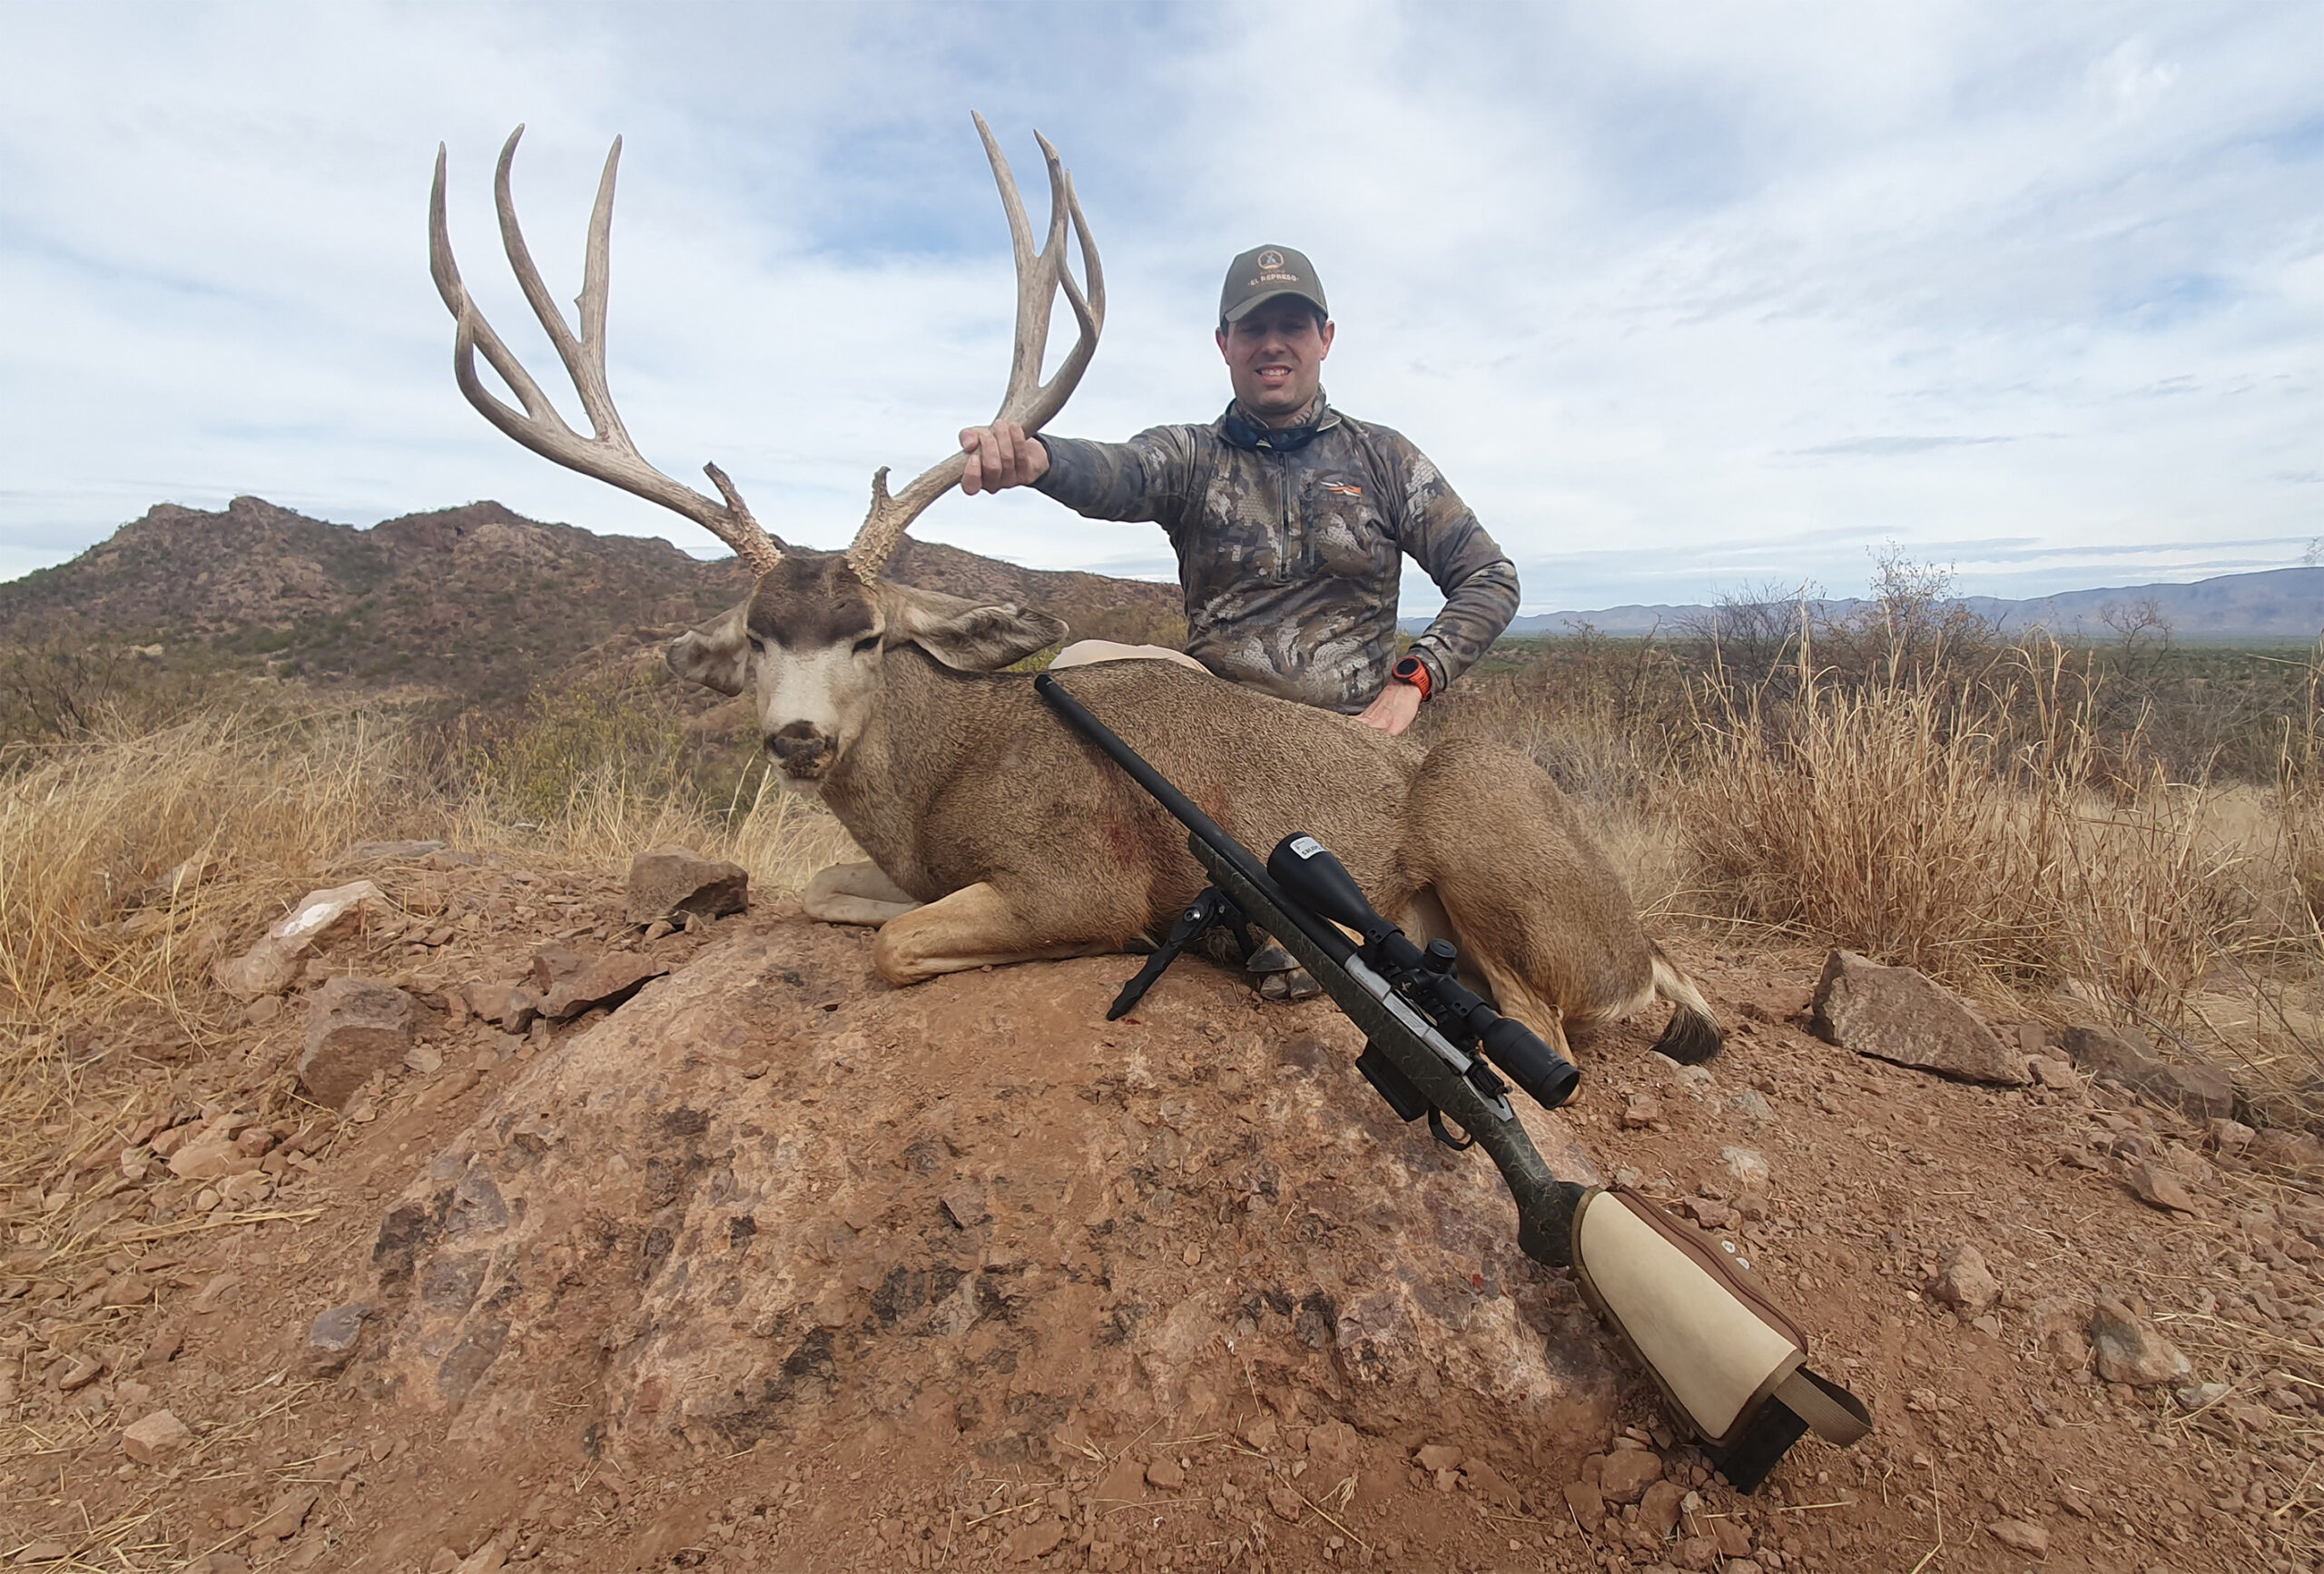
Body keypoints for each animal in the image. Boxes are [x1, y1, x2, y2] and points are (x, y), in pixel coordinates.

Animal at [426, 117, 1721, 1068]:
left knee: (1548, 1029)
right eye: (753, 639)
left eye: (867, 635)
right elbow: (823, 897)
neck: (940, 781)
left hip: (1493, 842)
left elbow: (898, 944)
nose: (794, 736)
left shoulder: (1075, 879)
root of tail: (1636, 938)